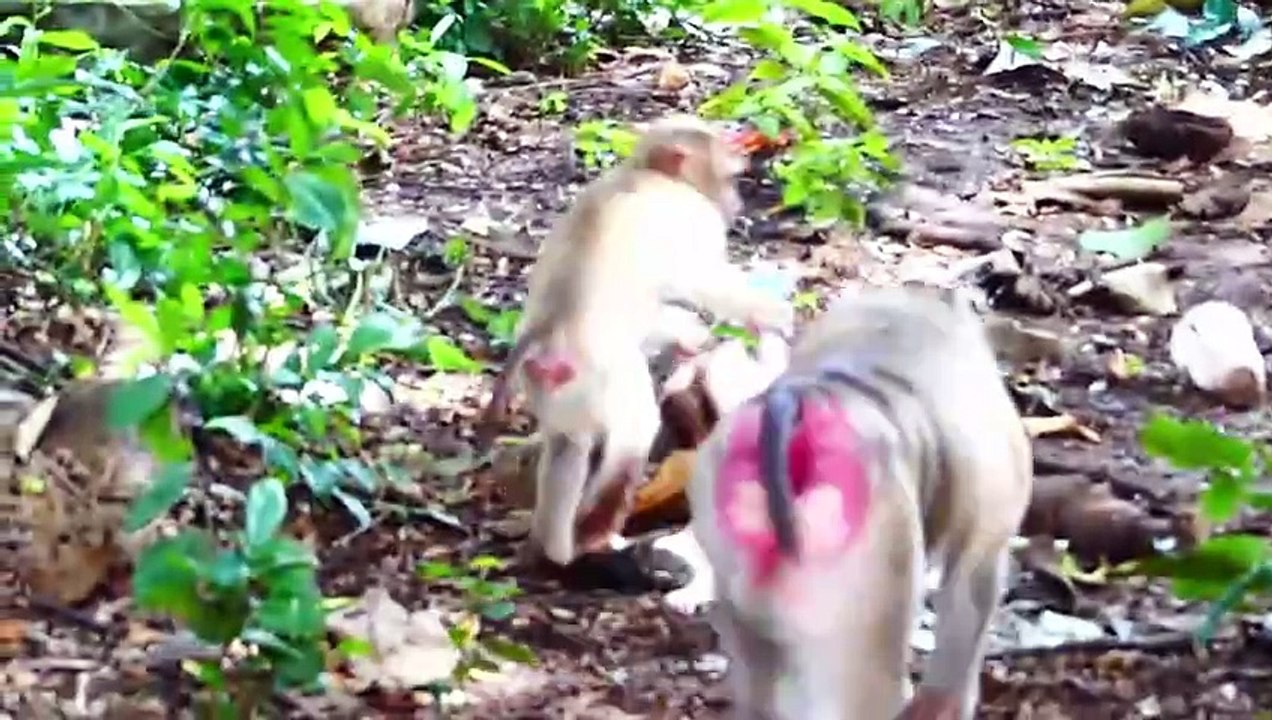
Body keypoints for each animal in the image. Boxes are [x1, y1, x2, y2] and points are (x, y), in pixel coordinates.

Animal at [480, 114, 794, 567]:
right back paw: (597, 534)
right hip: (606, 375)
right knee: (632, 432)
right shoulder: (694, 219)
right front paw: (770, 313)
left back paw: (557, 550)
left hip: (555, 388)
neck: (645, 170)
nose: (735, 202)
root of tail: (547, 332)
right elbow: (700, 280)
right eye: (730, 175)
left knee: (568, 445)